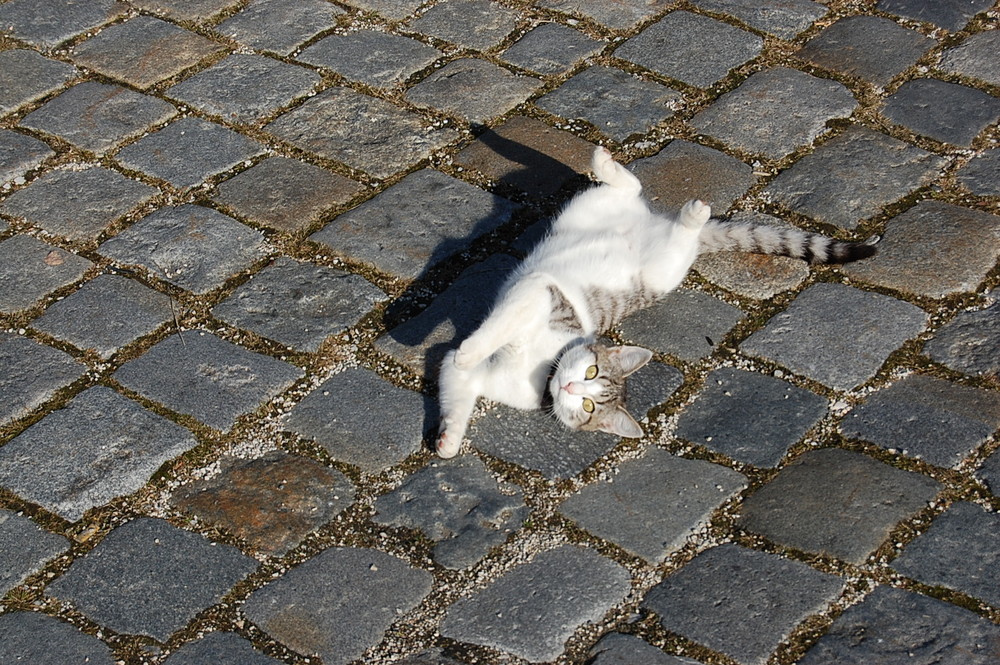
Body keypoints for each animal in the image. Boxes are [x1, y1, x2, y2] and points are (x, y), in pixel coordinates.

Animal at [434, 146, 872, 460]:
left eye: (589, 406)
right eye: (591, 371)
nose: (570, 385)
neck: (545, 370)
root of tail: (655, 226)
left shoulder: (510, 340)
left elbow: (457, 387)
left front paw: (447, 441)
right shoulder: (539, 291)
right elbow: (488, 338)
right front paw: (469, 357)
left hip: (664, 269)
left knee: (662, 219)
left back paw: (691, 214)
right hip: (590, 213)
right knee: (630, 188)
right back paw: (619, 169)